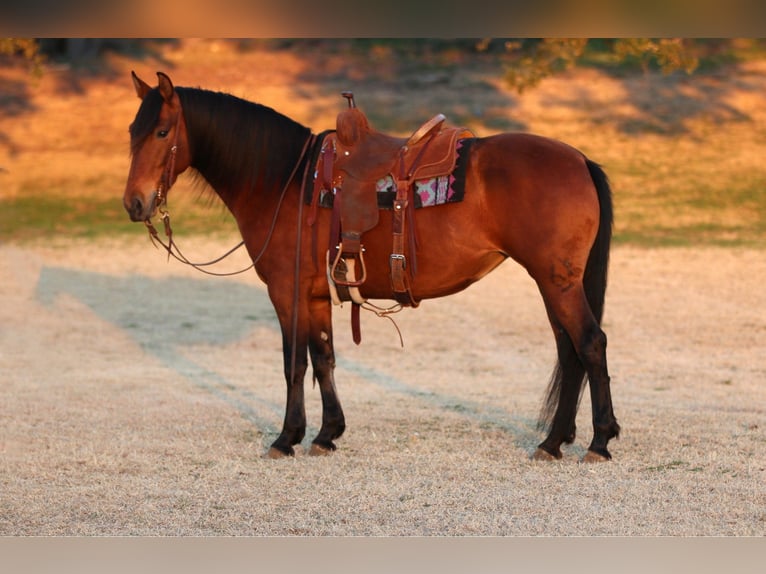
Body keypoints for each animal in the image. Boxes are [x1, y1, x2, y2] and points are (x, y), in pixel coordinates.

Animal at [123, 71, 620, 464]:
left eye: (163, 132)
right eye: (133, 130)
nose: (134, 203)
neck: (286, 180)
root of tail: (579, 159)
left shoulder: (286, 292)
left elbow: (293, 364)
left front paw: (286, 437)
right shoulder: (317, 295)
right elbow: (323, 358)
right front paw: (326, 434)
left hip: (557, 281)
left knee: (589, 344)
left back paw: (599, 441)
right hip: (554, 282)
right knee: (569, 352)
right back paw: (554, 442)